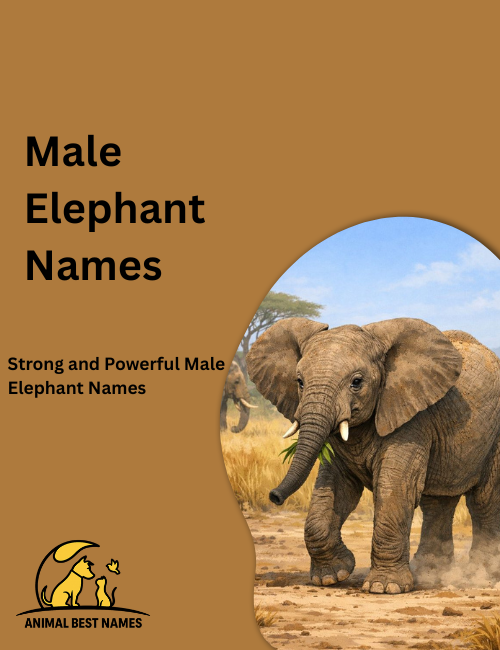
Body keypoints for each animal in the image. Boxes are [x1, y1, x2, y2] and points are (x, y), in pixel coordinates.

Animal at [247, 317, 500, 594]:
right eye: (300, 382)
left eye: (357, 382)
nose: (274, 496)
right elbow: (337, 487)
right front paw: (331, 576)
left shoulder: (413, 417)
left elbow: (395, 487)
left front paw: (384, 587)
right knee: (437, 502)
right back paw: (430, 573)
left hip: (494, 436)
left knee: (484, 500)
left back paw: (482, 575)